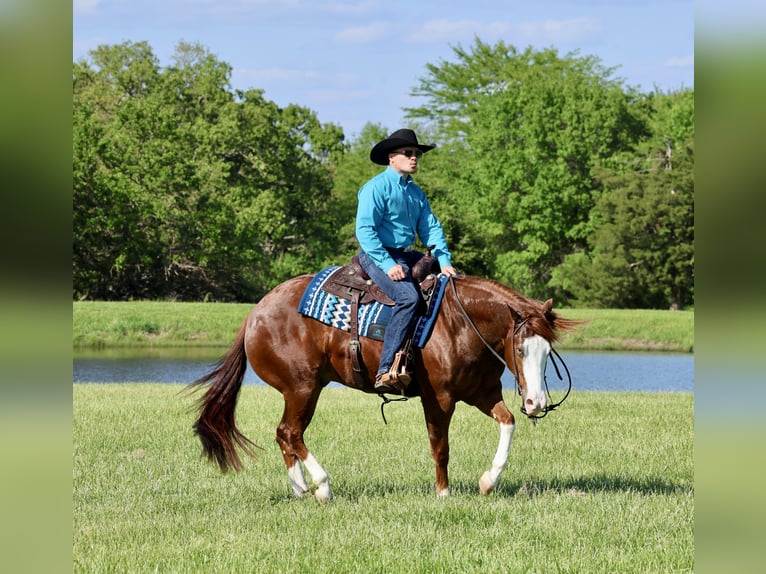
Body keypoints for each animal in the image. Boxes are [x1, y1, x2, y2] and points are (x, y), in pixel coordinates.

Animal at [189, 273, 580, 500]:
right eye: (520, 349)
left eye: (547, 351)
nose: (536, 402)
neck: (459, 323)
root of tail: (255, 312)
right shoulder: (439, 400)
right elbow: (440, 447)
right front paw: (443, 494)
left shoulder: (482, 394)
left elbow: (508, 423)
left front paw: (488, 481)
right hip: (302, 387)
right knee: (291, 432)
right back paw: (323, 487)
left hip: (301, 391)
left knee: (285, 435)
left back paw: (302, 489)